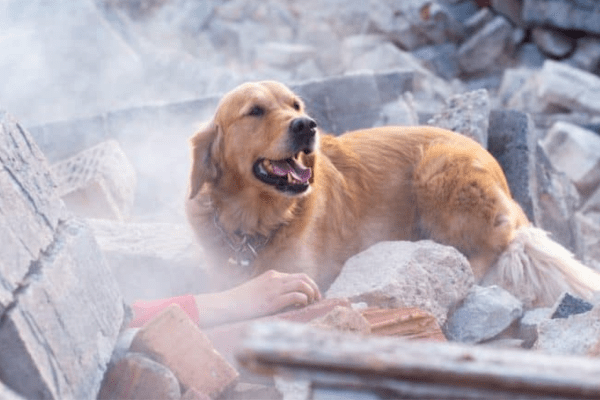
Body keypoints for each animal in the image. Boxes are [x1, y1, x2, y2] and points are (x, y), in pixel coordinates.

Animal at [186, 80, 600, 306]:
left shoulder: (303, 273)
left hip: (437, 171)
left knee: (491, 246)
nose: (307, 125)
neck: (254, 221)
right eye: (255, 110)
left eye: (295, 104)